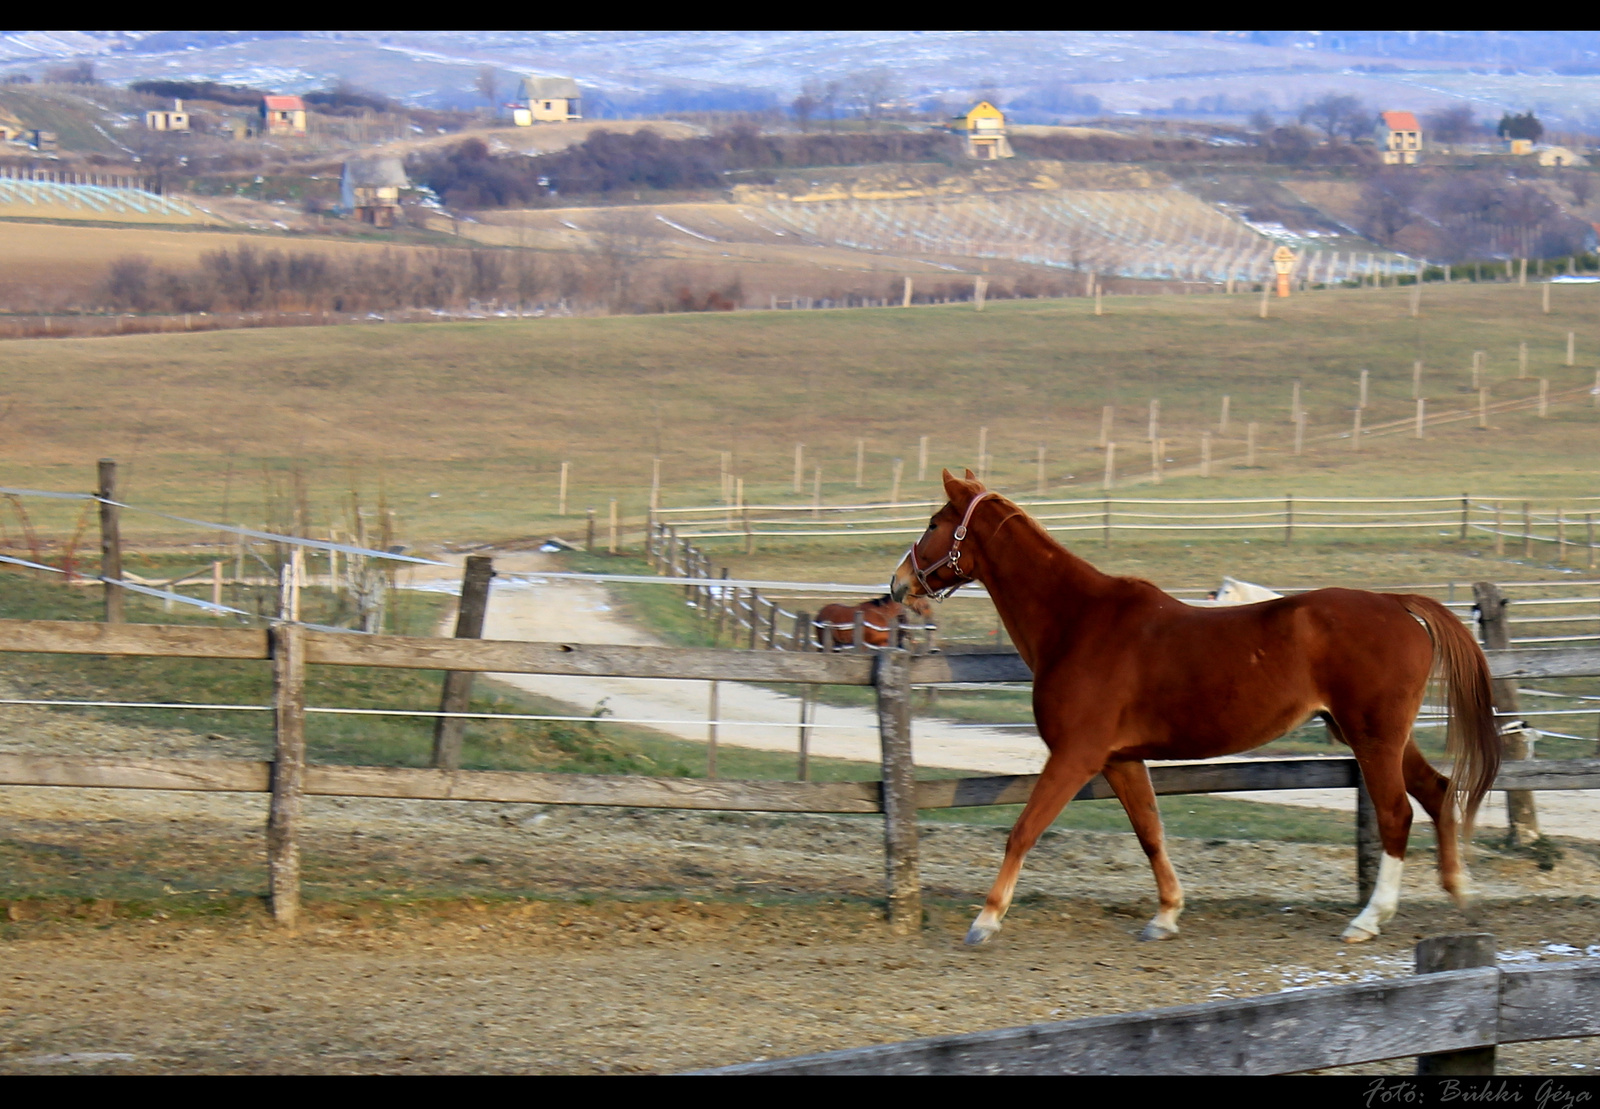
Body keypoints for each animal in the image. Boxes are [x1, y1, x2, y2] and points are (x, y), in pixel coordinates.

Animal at [889, 470, 1497, 947]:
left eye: (934, 523)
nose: (897, 584)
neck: (1078, 622)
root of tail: (1398, 603)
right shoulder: (1120, 759)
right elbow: (1150, 833)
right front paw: (1166, 915)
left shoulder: (1075, 756)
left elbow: (1022, 830)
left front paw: (985, 921)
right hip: (1379, 735)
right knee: (1438, 791)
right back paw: (1460, 891)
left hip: (1373, 737)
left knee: (1397, 814)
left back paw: (1369, 919)